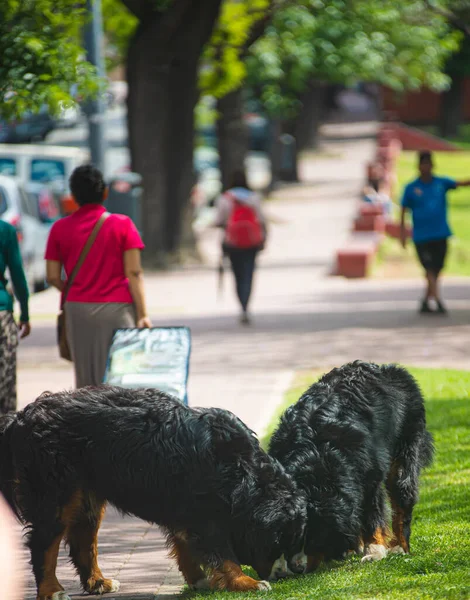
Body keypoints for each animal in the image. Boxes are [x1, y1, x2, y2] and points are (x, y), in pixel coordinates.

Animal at [0, 386, 306, 596]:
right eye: (278, 542)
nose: (291, 572)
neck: (241, 472)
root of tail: (23, 416)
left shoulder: (187, 508)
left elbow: (184, 541)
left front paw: (198, 579)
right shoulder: (207, 513)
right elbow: (223, 552)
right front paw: (246, 582)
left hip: (87, 496)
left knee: (82, 541)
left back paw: (99, 582)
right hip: (57, 493)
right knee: (44, 543)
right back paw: (52, 590)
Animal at [268, 360, 434, 572]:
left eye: (314, 539)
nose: (297, 567)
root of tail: (387, 368)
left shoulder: (368, 473)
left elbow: (372, 514)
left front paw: (374, 551)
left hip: (406, 439)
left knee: (402, 491)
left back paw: (400, 545)